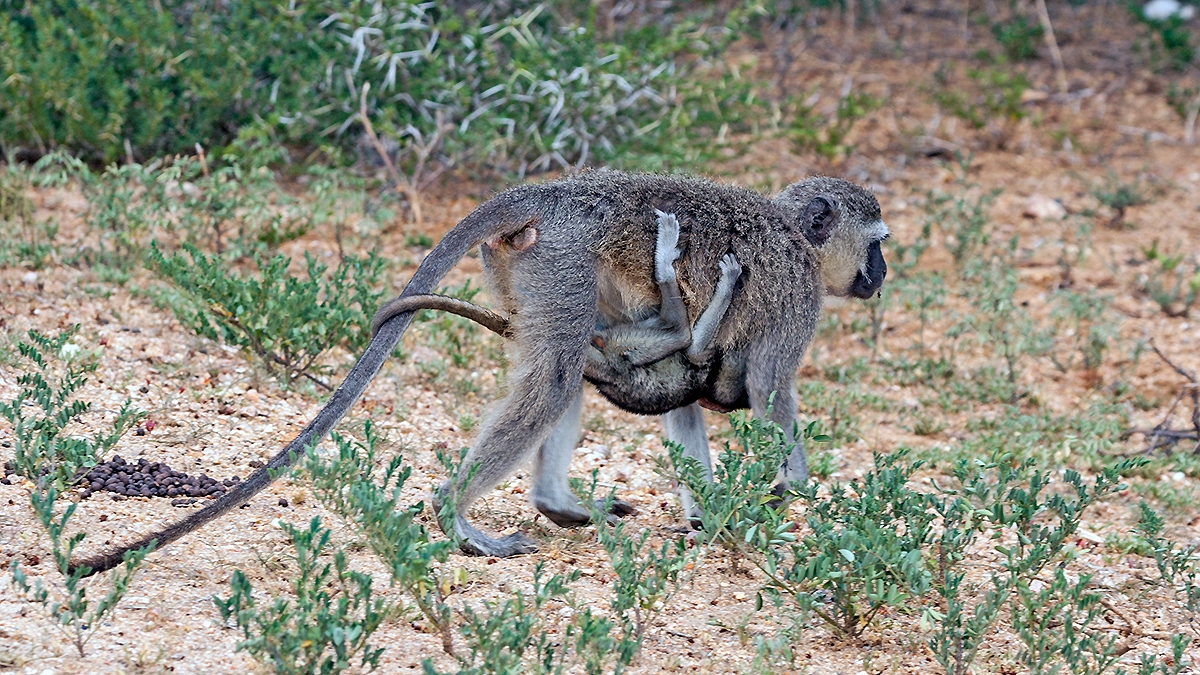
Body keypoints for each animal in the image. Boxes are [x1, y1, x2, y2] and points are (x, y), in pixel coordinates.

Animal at [70, 171, 887, 574]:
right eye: (876, 240)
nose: (880, 274)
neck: (796, 238)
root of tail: (559, 190)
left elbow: (687, 407)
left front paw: (707, 512)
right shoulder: (800, 300)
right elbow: (772, 391)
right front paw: (788, 484)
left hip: (528, 265)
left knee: (564, 366)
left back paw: (555, 501)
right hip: (560, 258)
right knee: (557, 375)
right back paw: (457, 517)